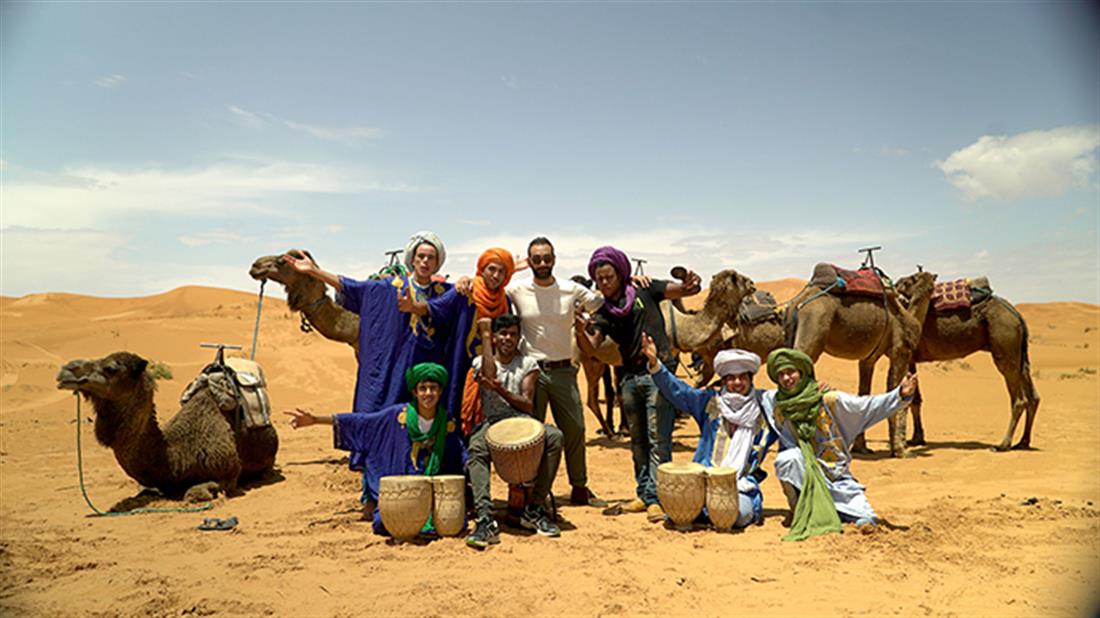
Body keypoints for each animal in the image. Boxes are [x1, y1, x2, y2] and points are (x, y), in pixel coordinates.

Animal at [56, 352, 279, 501]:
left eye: (110, 368)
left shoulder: (229, 473)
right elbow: (144, 490)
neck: (175, 458)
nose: (66, 370)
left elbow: (194, 493)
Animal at [784, 271, 938, 457]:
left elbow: (864, 393)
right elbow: (896, 390)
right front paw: (900, 449)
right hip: (813, 327)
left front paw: (861, 447)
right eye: (932, 285)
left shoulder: (869, 358)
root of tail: (797, 303)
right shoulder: (900, 350)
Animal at [894, 273, 1039, 451]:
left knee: (1019, 398)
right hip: (1020, 353)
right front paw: (917, 438)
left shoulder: (906, 354)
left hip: (1005, 341)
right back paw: (1023, 441)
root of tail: (1016, 314)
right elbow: (915, 399)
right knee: (1032, 395)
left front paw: (910, 440)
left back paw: (1003, 445)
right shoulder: (911, 358)